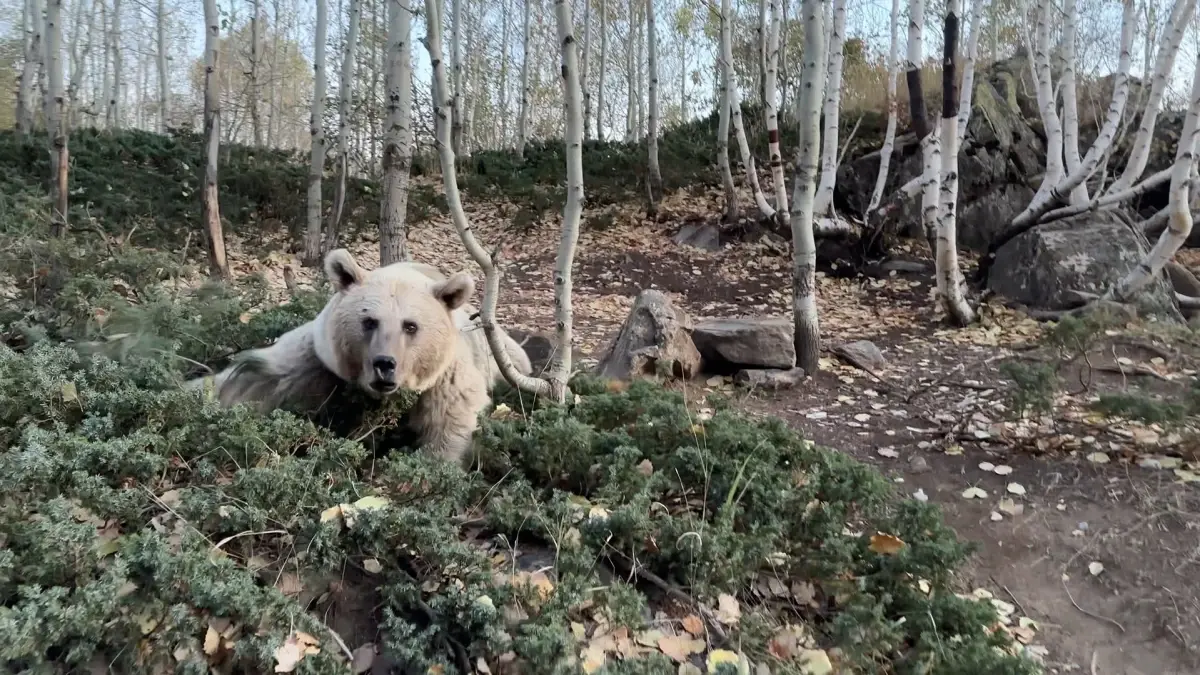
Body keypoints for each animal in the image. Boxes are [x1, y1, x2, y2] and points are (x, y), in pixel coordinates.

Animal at [190, 248, 530, 461]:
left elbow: (450, 420)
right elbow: (256, 379)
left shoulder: (444, 376)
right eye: (369, 321)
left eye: (410, 325)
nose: (385, 365)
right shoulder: (320, 359)